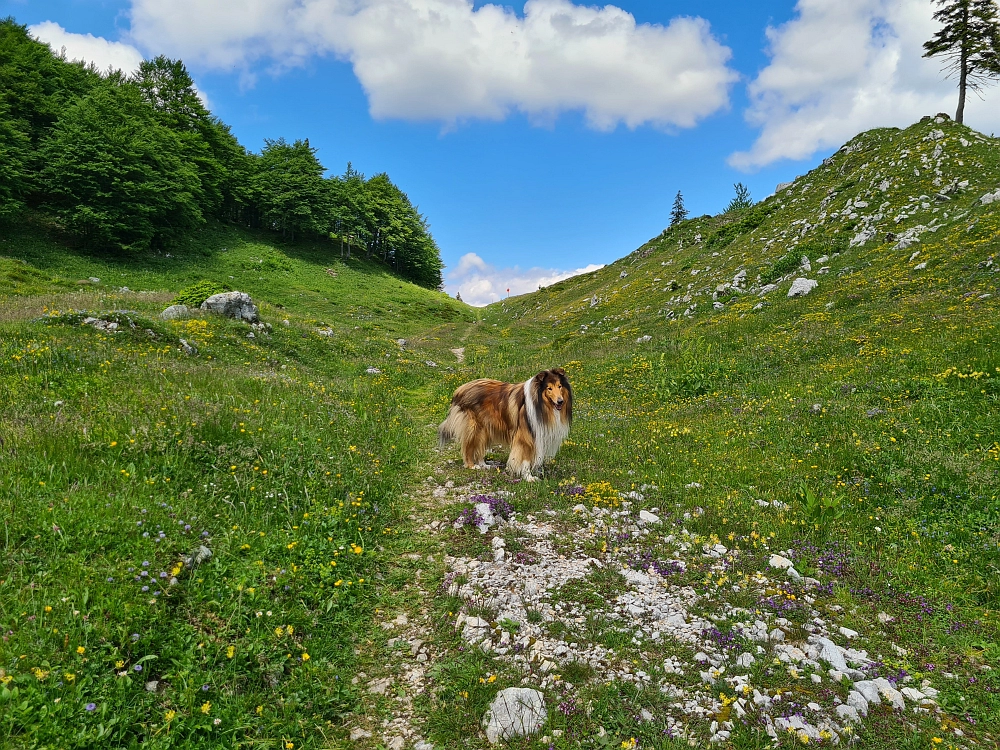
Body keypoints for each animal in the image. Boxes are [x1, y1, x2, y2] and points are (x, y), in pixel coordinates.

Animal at [436, 368, 572, 482]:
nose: (560, 401)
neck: (540, 404)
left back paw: (484, 465)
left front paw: (537, 472)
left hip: (485, 428)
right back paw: (472, 465)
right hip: (473, 427)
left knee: (479, 448)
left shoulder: (539, 434)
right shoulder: (525, 436)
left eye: (559, 386)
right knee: (468, 447)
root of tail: (459, 389)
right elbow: (526, 459)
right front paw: (528, 477)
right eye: (549, 388)